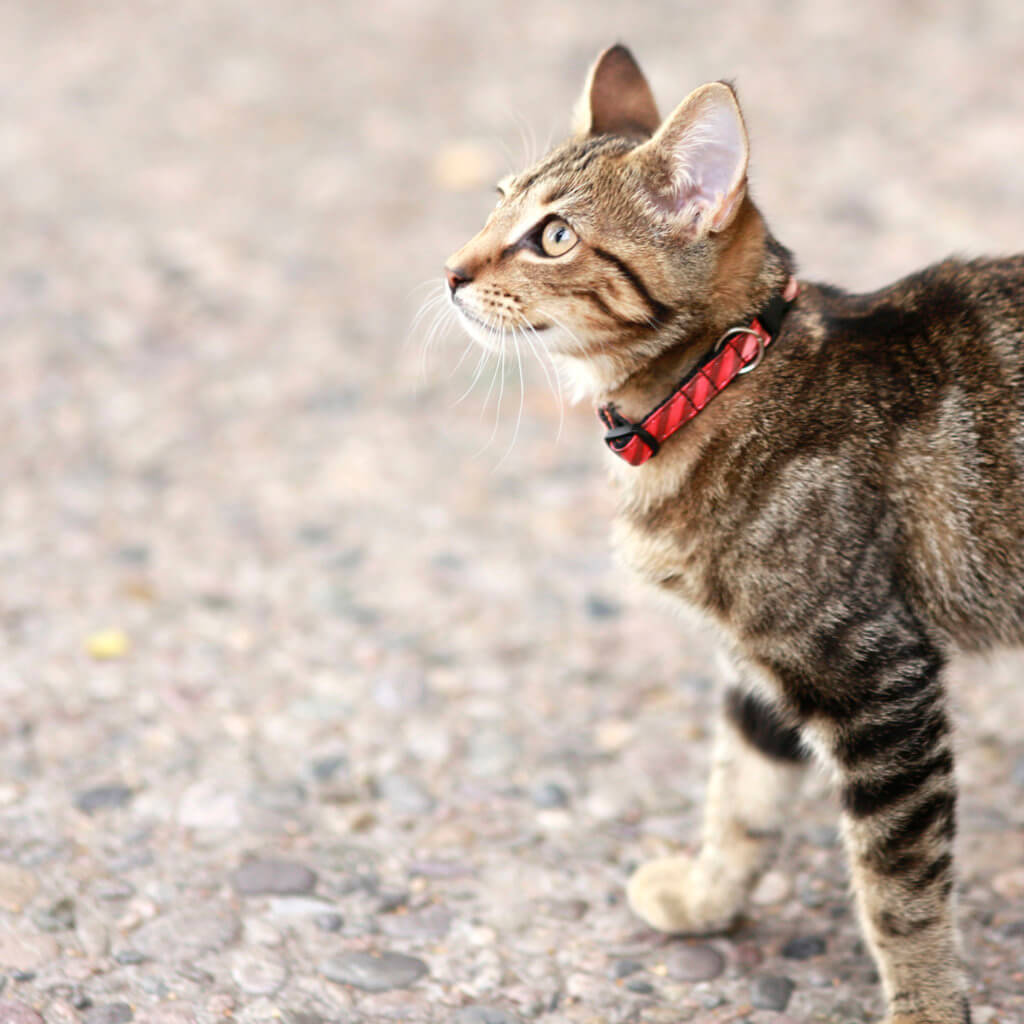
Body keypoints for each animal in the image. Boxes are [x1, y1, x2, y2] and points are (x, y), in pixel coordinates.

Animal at [442, 41, 1024, 1024]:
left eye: (553, 235)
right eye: (496, 197)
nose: (449, 271)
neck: (715, 380)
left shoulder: (873, 675)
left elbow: (898, 889)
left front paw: (925, 1003)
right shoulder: (760, 661)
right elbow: (740, 793)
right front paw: (708, 895)